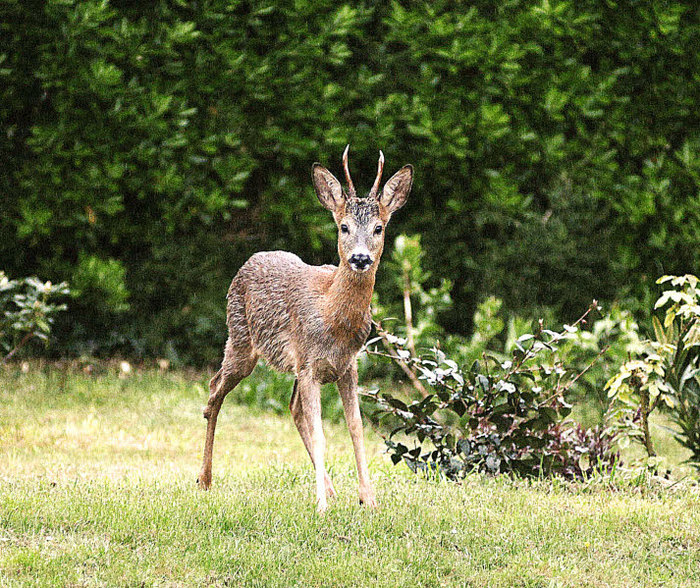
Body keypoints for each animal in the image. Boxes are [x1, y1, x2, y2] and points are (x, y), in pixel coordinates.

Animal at [197, 146, 412, 510]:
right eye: (344, 226)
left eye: (379, 228)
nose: (360, 258)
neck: (333, 317)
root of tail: (248, 262)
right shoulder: (310, 364)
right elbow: (321, 431)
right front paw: (321, 507)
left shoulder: (345, 365)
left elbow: (355, 427)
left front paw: (368, 500)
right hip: (240, 339)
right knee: (214, 390)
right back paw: (205, 479)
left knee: (293, 408)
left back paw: (330, 488)